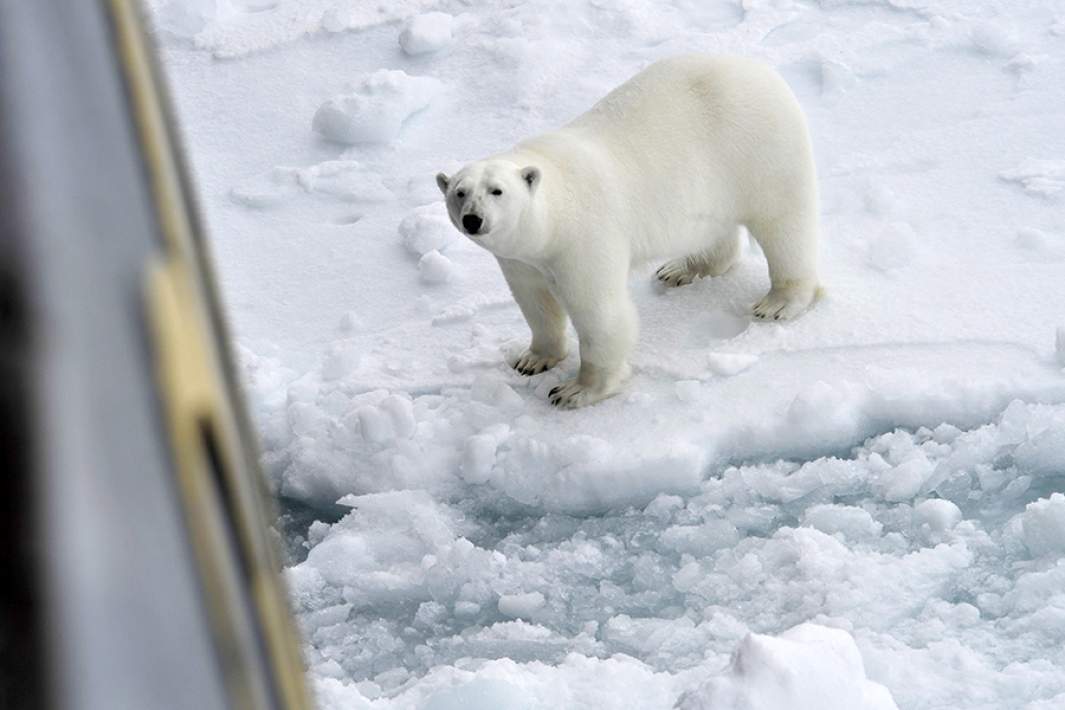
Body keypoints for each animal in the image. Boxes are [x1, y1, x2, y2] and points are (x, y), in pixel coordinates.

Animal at [436, 52, 817, 408]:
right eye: (460, 192)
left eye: (497, 191)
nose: (473, 219)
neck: (555, 213)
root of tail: (760, 70)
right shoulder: (521, 260)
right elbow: (535, 302)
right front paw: (532, 359)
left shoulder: (583, 241)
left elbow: (599, 313)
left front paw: (575, 391)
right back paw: (681, 268)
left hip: (759, 149)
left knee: (784, 224)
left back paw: (778, 302)